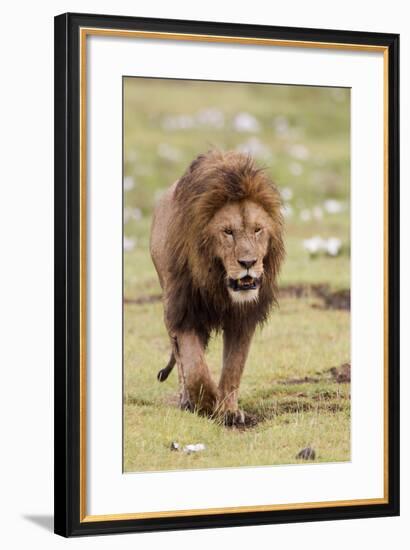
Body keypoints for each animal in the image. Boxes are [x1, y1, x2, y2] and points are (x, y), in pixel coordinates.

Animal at [149, 150, 284, 426]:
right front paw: (208, 403)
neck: (217, 282)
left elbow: (234, 367)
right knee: (181, 362)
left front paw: (229, 410)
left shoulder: (243, 318)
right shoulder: (184, 311)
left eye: (258, 229)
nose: (248, 263)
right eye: (228, 232)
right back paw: (187, 400)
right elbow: (195, 368)